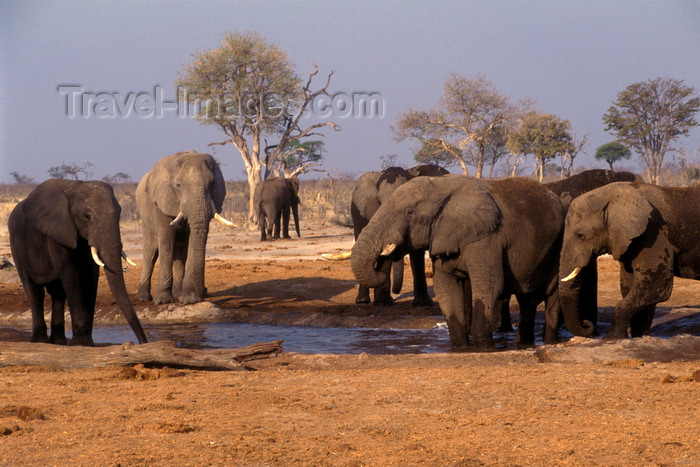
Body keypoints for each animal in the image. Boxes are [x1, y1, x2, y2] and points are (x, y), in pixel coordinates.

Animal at [8, 179, 148, 348]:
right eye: (87, 216)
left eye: (119, 214)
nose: (142, 342)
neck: (74, 187)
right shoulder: (57, 232)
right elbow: (71, 274)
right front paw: (81, 343)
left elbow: (91, 276)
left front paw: (86, 343)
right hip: (17, 247)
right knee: (35, 292)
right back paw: (39, 342)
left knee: (58, 294)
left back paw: (59, 342)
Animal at [135, 150, 235, 306]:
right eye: (178, 185)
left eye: (212, 183)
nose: (204, 293)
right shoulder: (162, 201)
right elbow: (166, 239)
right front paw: (163, 301)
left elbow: (193, 240)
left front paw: (190, 299)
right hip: (144, 215)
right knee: (151, 252)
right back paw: (143, 298)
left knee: (180, 252)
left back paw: (178, 295)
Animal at [350, 165, 448, 308]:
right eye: (379, 201)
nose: (396, 291)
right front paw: (383, 303)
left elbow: (416, 254)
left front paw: (422, 304)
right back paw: (362, 301)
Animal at [560, 182, 700, 340]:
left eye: (580, 235)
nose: (586, 323)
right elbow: (631, 287)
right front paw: (639, 338)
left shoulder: (652, 233)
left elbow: (656, 286)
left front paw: (611, 339)